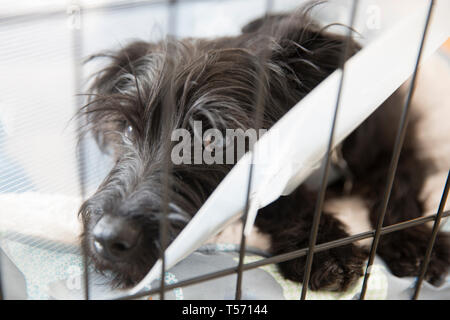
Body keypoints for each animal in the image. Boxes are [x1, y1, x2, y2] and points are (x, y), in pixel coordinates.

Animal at [79, 6, 448, 290]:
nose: (109, 238)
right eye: (128, 129)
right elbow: (285, 201)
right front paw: (325, 249)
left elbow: (397, 189)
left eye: (211, 139)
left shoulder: (395, 144)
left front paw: (416, 243)